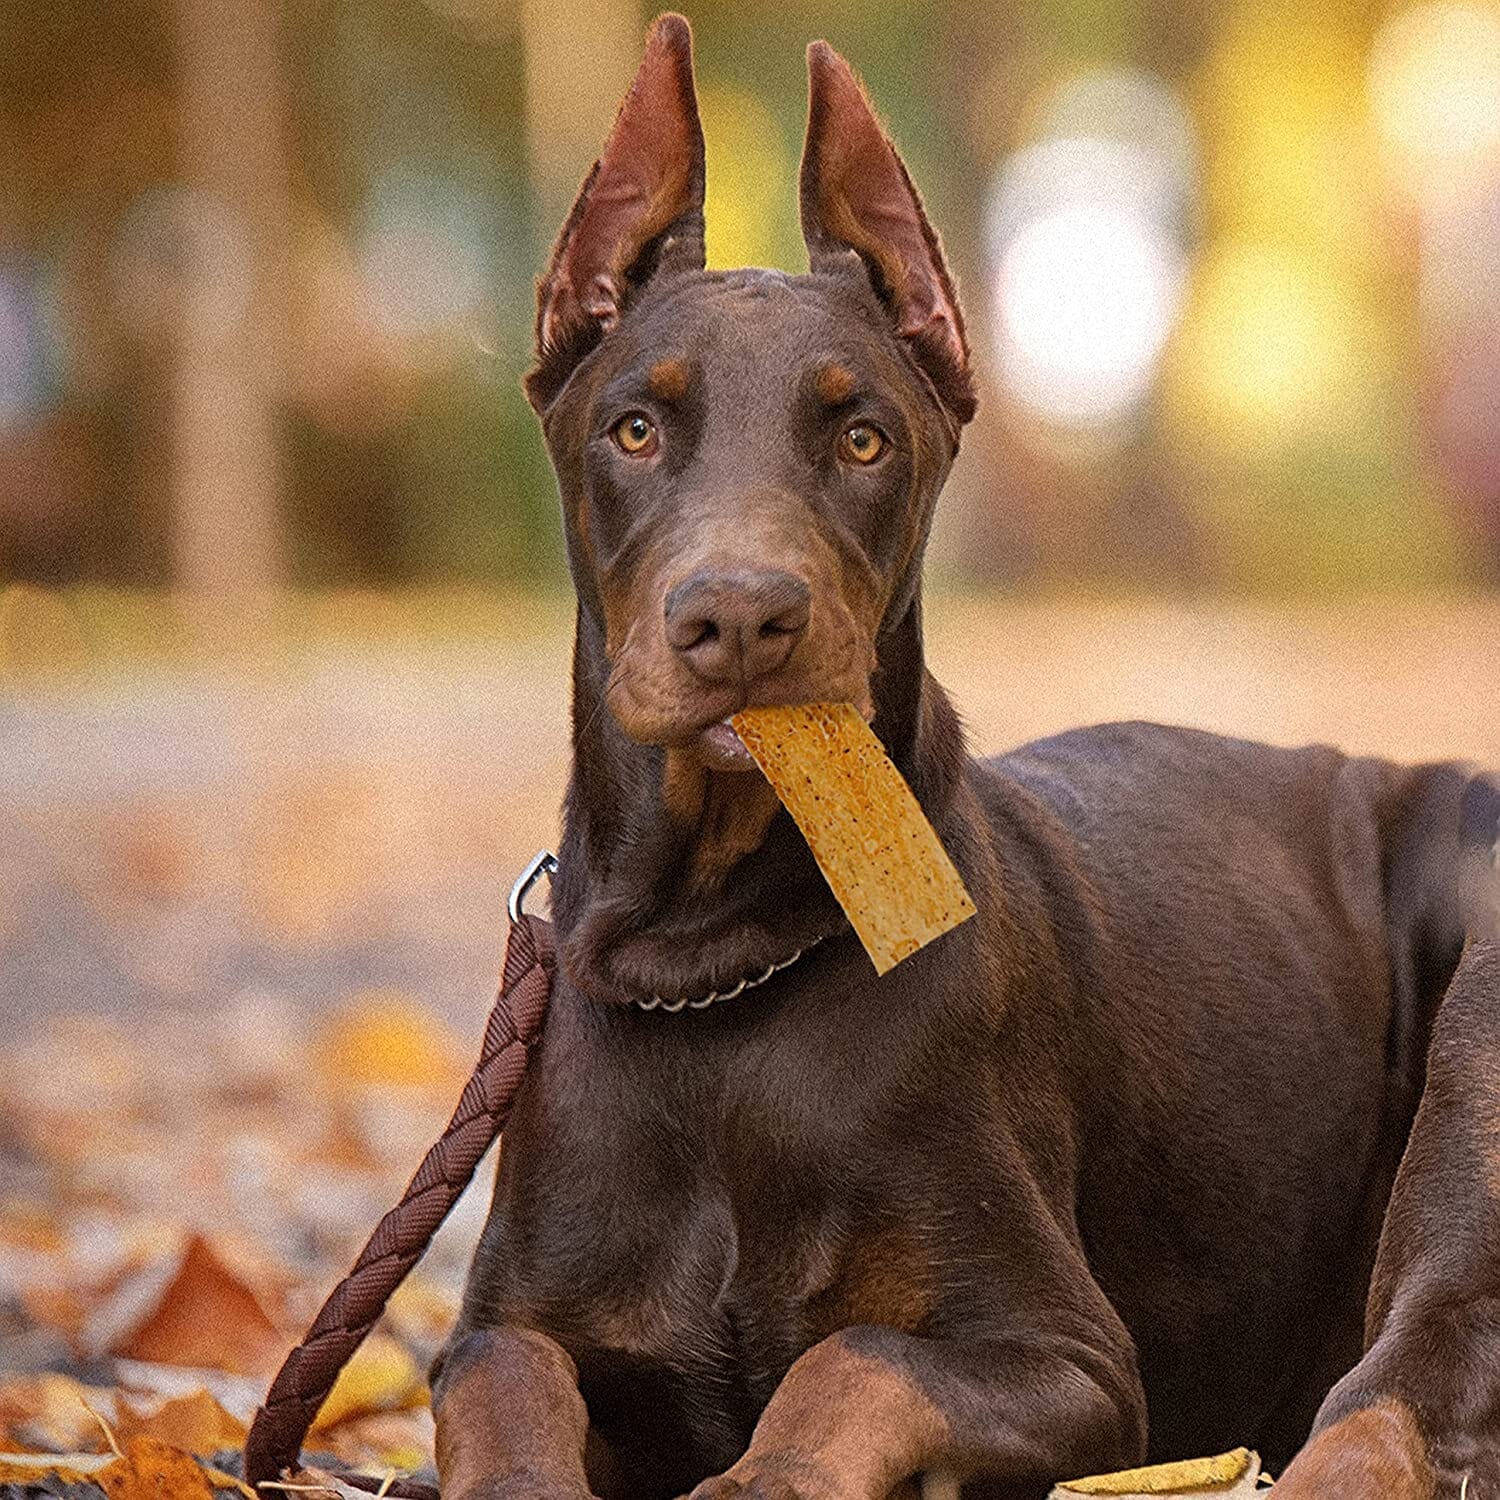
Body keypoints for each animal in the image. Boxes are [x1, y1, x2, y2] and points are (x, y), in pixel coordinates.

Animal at [429, 14, 1494, 1500]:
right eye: (633, 428)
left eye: (863, 435)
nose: (741, 618)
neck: (717, 974)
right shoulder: (520, 1314)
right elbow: (500, 1380)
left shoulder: (1069, 1361)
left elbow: (853, 1360)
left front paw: (764, 1472)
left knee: (1409, 1378)